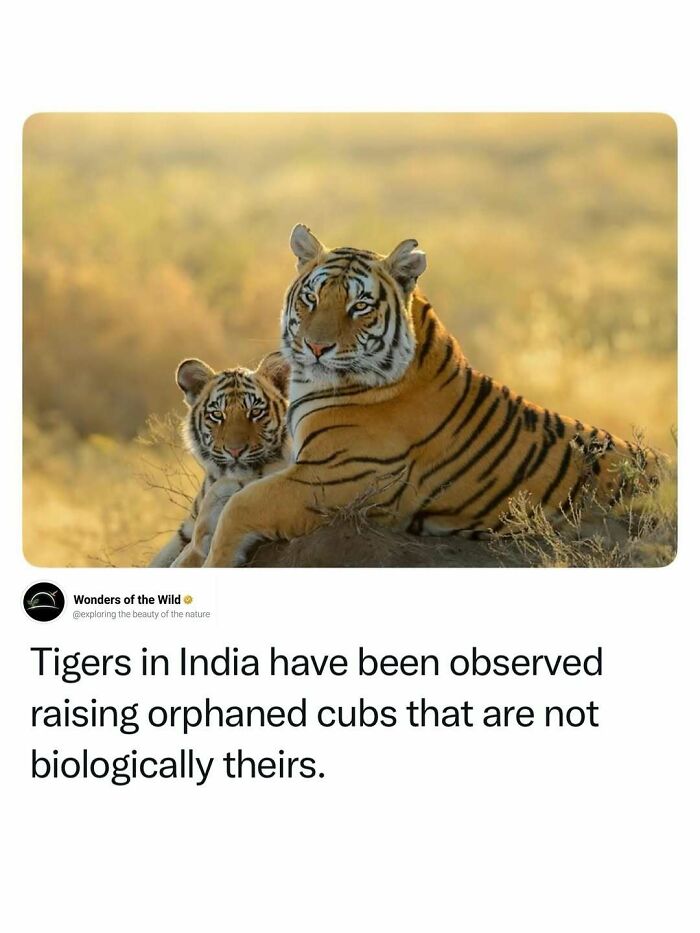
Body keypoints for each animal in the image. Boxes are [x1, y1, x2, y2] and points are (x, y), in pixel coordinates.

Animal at [192, 224, 666, 567]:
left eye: (359, 307)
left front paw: (214, 562)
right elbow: (227, 495)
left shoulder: (333, 478)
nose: (316, 347)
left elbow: (241, 505)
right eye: (311, 298)